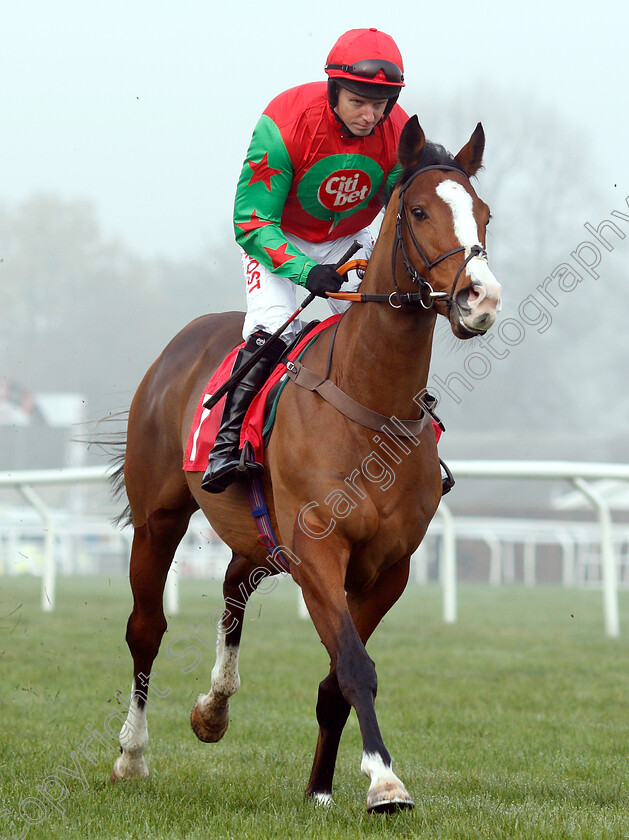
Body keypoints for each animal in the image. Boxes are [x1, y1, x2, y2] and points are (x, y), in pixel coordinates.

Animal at [108, 115, 500, 812]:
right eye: (420, 211)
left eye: (483, 214)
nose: (480, 298)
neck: (371, 406)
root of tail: (180, 343)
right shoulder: (319, 548)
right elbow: (354, 666)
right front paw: (385, 782)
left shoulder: (388, 568)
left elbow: (337, 678)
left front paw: (325, 784)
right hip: (160, 518)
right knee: (146, 629)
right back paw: (132, 755)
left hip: (263, 533)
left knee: (235, 582)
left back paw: (214, 708)